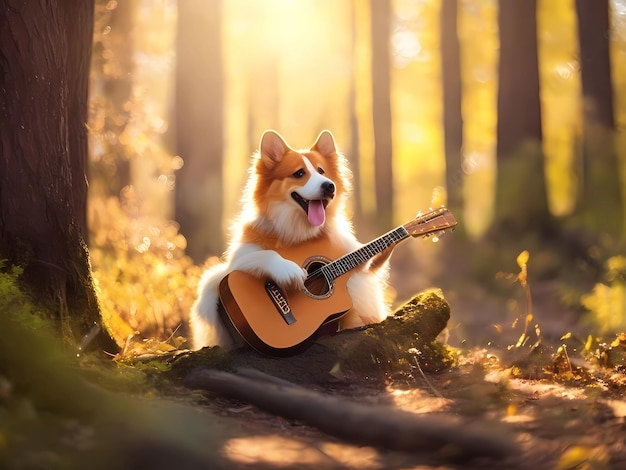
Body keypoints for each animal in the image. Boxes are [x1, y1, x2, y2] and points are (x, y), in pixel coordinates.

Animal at [189, 130, 390, 350]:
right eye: (299, 174)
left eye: (322, 171)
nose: (329, 186)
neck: (299, 230)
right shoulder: (239, 258)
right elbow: (266, 254)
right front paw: (289, 271)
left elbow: (368, 267)